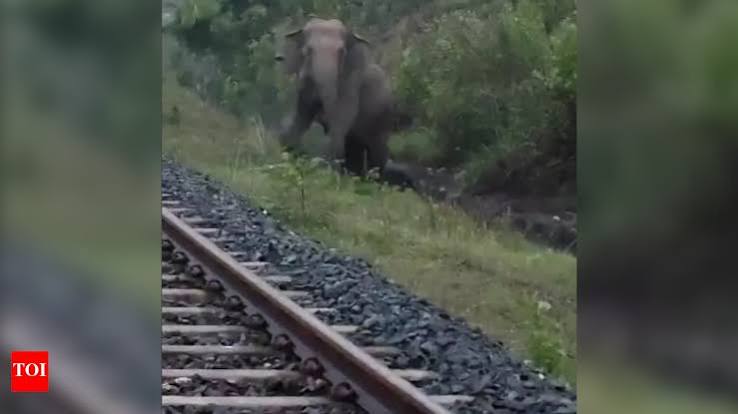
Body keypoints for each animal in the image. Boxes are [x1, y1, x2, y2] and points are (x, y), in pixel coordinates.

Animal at [275, 18, 395, 176]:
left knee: (375, 153)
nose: (324, 119)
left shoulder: (351, 81)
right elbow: (302, 114)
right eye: (308, 51)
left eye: (341, 52)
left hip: (382, 122)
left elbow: (343, 115)